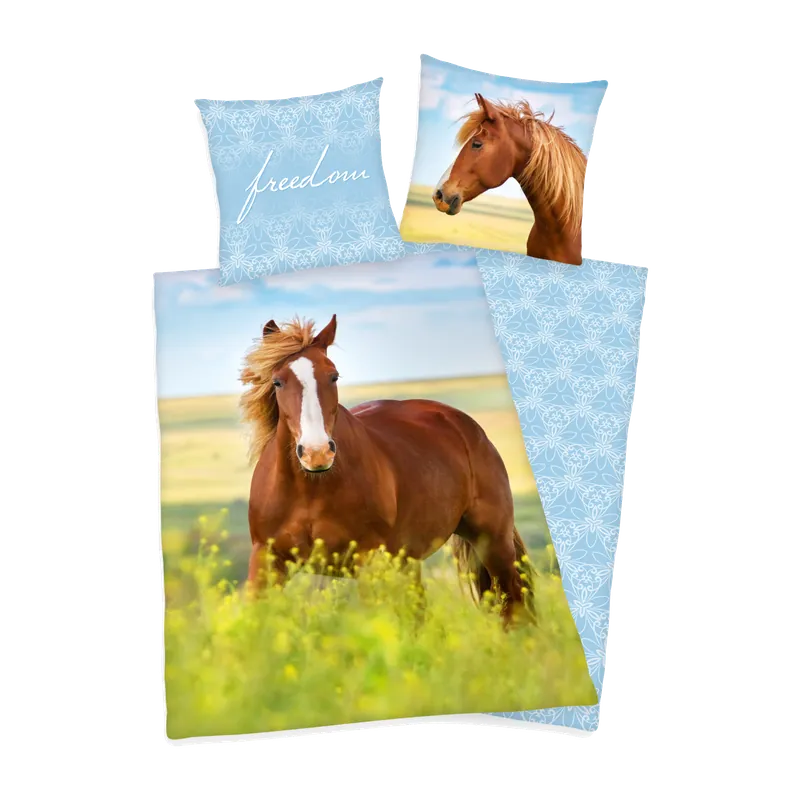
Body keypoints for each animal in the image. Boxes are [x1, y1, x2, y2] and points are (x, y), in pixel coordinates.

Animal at [239, 314, 536, 625]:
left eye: (333, 376)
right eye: (277, 381)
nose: (316, 453)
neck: (311, 489)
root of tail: (462, 423)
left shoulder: (368, 562)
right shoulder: (267, 560)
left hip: (493, 542)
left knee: (514, 604)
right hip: (410, 561)